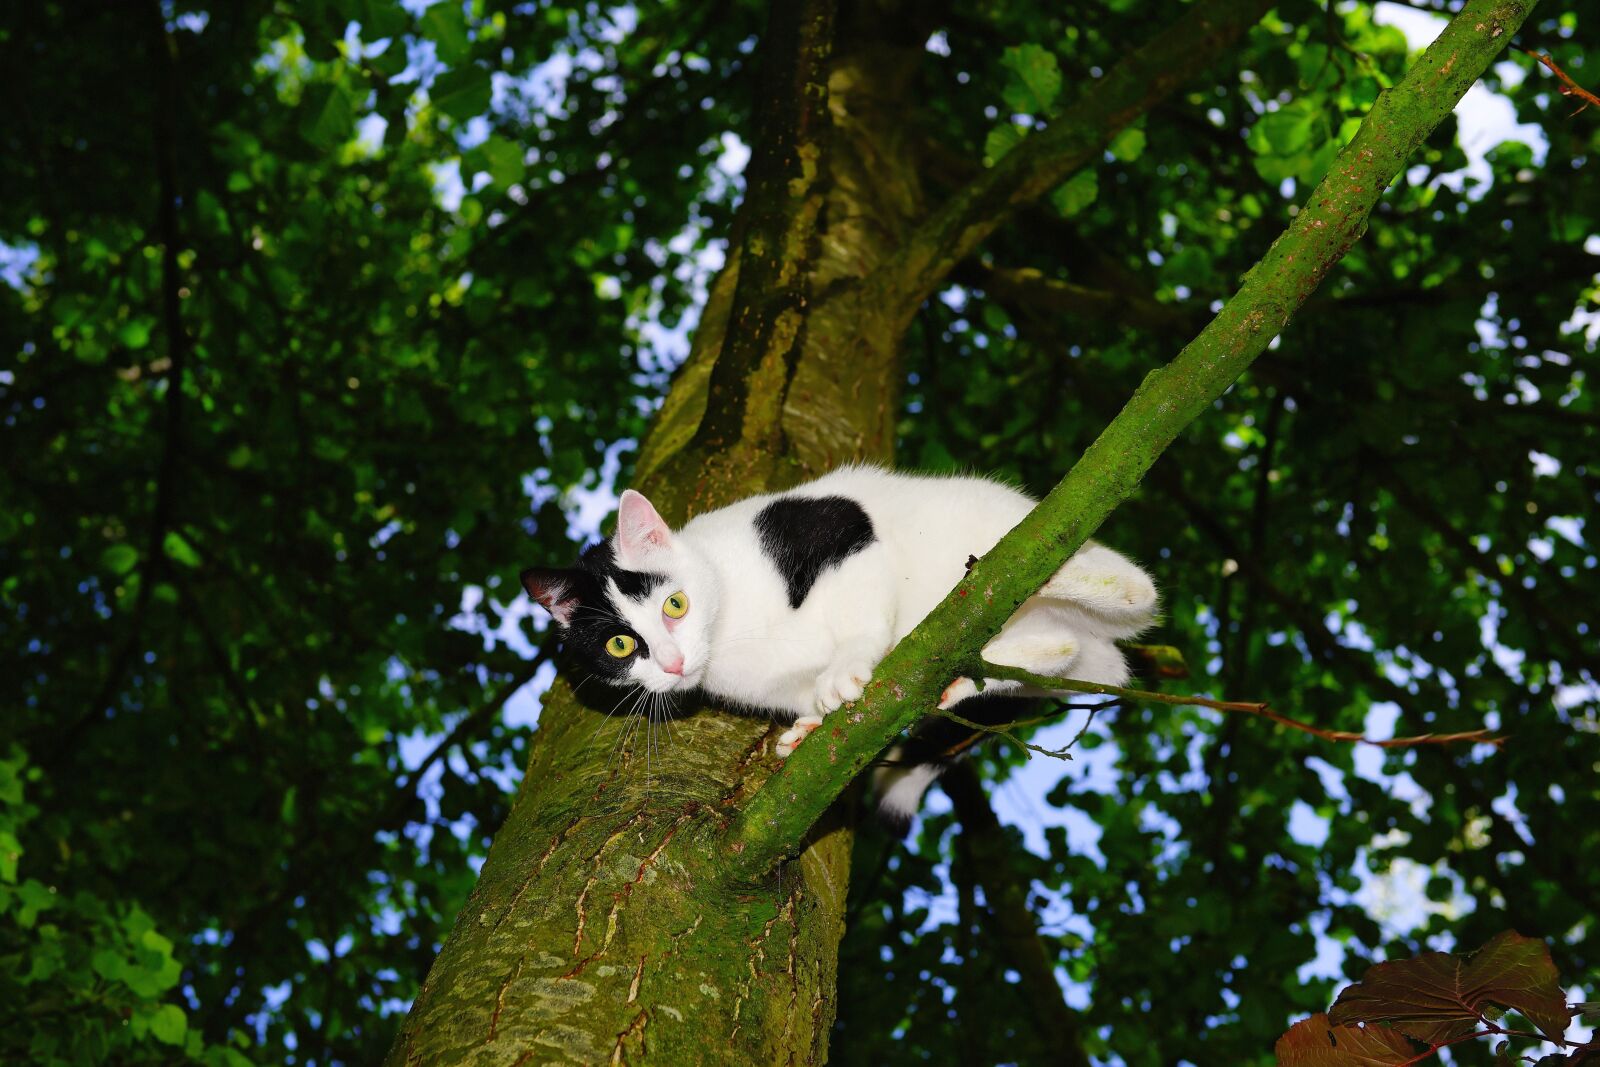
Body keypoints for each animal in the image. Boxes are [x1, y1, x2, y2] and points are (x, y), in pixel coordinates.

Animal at [524, 463, 1164, 825]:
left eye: (674, 605)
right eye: (620, 647)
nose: (675, 663)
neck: (729, 627)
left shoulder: (840, 528)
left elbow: (859, 609)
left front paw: (847, 670)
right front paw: (811, 723)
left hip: (1023, 529)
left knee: (1136, 589)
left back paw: (1035, 570)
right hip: (1059, 650)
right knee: (1061, 649)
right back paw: (961, 680)